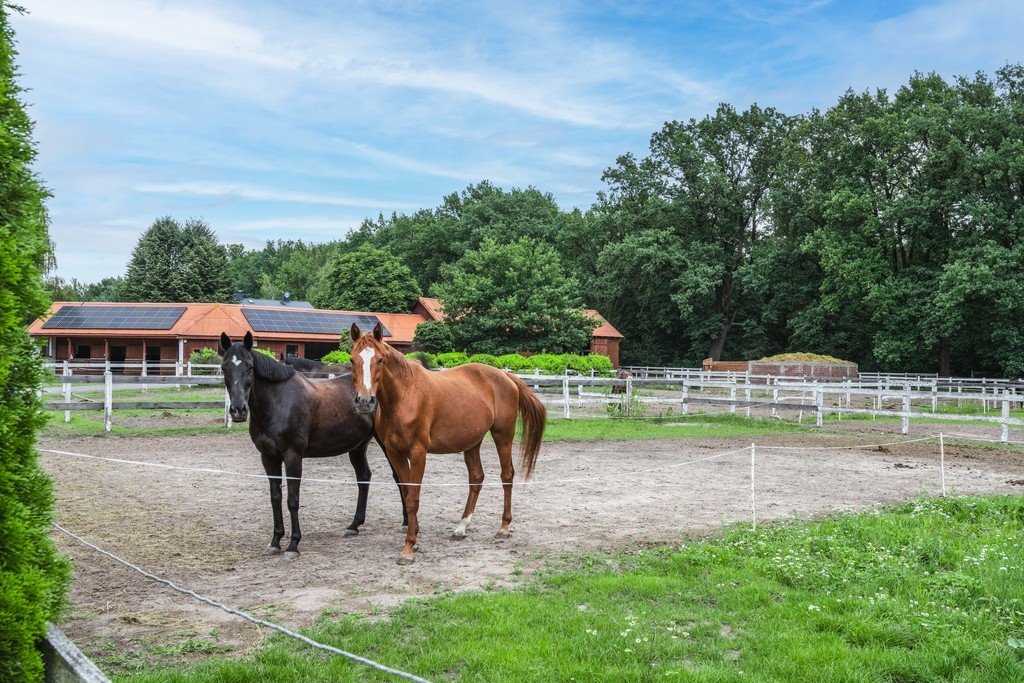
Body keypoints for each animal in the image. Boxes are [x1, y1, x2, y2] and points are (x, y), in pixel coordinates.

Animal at [219, 331, 403, 561]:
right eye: (224, 367)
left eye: (250, 366)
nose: (238, 409)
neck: (278, 403)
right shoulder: (268, 457)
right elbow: (275, 498)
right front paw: (275, 542)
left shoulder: (293, 456)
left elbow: (293, 500)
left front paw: (293, 545)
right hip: (358, 447)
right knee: (364, 478)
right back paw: (354, 525)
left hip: (386, 444)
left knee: (400, 477)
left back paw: (406, 524)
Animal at [350, 323, 548, 565]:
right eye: (352, 360)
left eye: (379, 360)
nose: (364, 401)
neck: (405, 395)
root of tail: (505, 375)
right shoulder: (395, 453)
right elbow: (406, 493)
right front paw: (414, 537)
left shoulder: (418, 453)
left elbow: (413, 498)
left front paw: (408, 548)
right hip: (472, 442)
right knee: (476, 478)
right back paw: (461, 527)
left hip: (503, 435)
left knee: (507, 475)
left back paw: (503, 527)